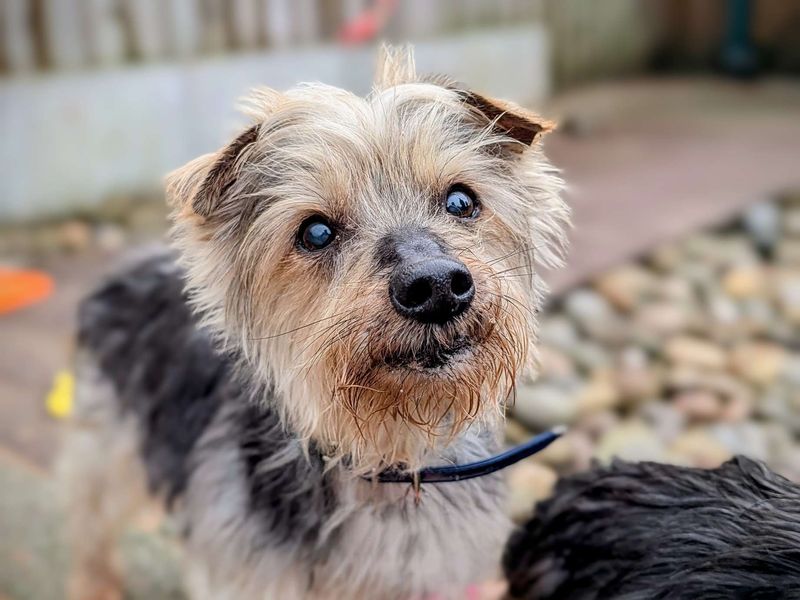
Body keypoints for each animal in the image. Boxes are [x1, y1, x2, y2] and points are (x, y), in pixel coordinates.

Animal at [61, 47, 568, 600]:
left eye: (461, 201)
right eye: (316, 232)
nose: (435, 285)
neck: (389, 455)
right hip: (106, 449)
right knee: (89, 526)